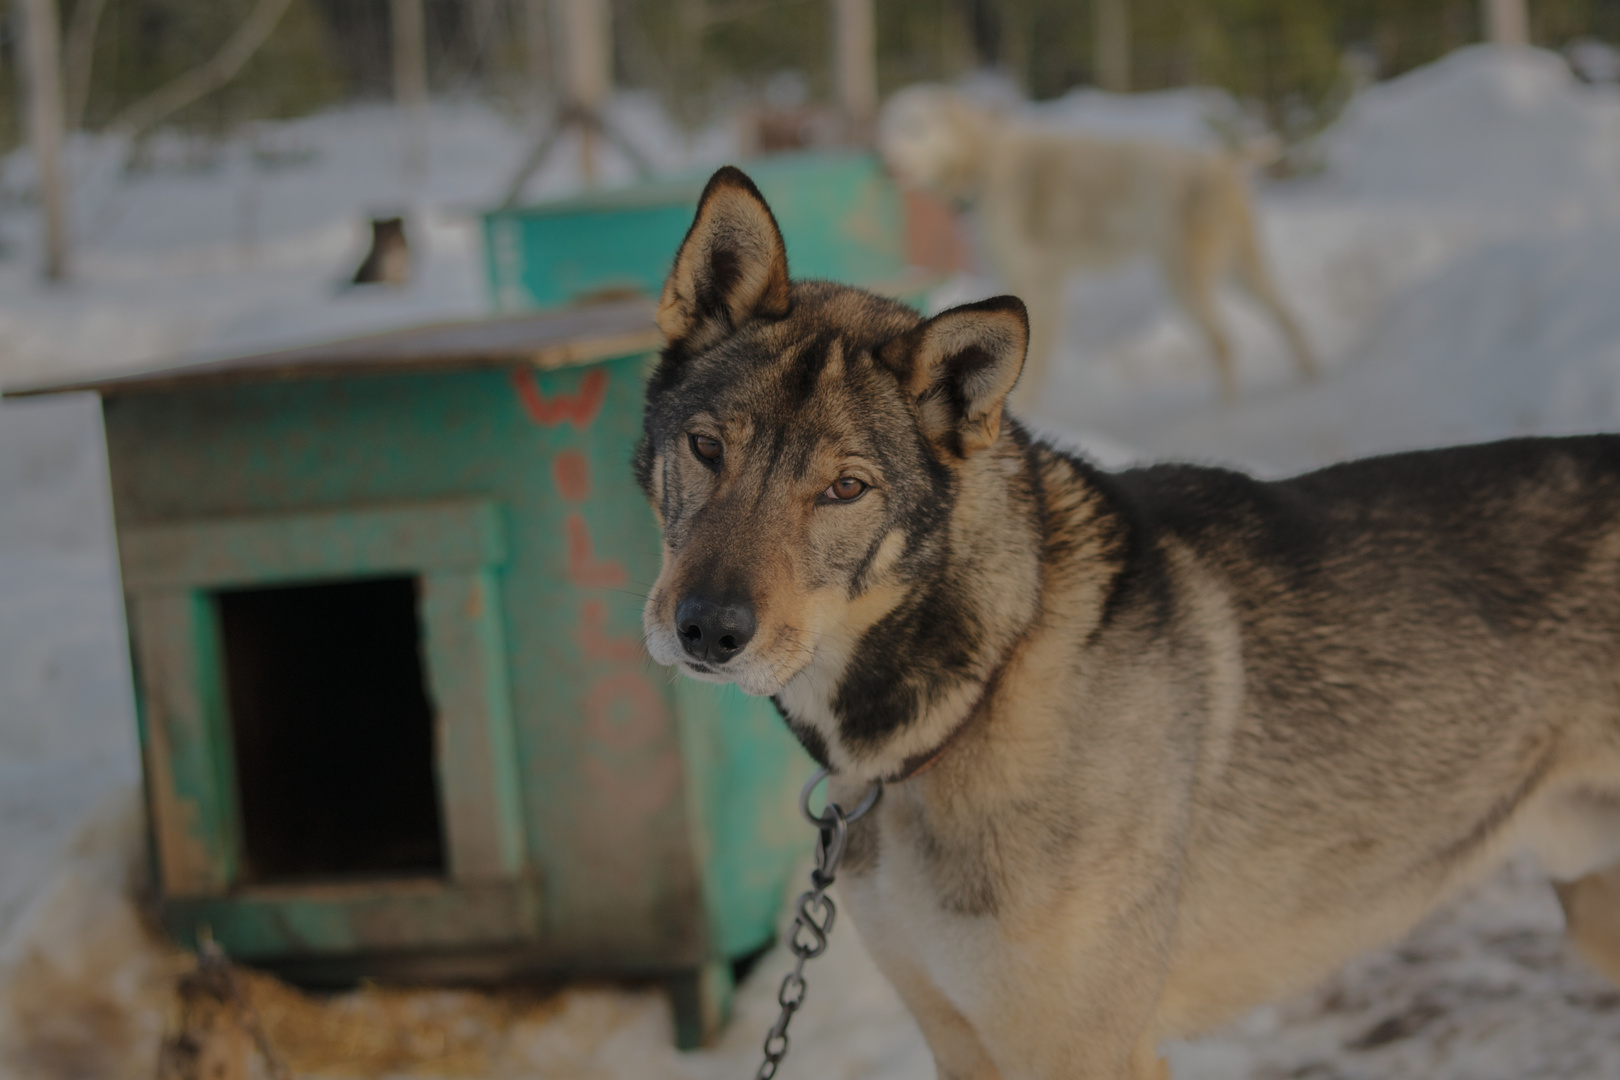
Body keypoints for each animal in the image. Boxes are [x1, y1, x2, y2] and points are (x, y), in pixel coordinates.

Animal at [874, 84, 1315, 409]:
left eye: (915, 128)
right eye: (887, 129)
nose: (884, 162)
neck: (988, 163)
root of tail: (1219, 162)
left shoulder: (1033, 279)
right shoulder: (1051, 282)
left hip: (1187, 281)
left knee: (1225, 343)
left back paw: (1225, 412)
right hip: (1242, 272)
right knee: (1288, 318)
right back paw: (1310, 377)